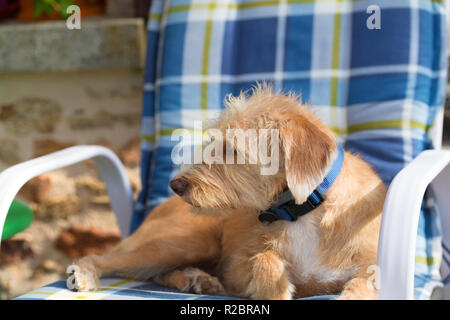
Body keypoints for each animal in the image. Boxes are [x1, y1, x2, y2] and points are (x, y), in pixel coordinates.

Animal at [66, 85, 386, 300]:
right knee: (107, 258)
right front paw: (274, 288)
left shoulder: (371, 266)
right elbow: (264, 259)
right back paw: (84, 273)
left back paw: (195, 279)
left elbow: (364, 283)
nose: (176, 185)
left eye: (233, 148)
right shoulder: (236, 267)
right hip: (184, 243)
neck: (304, 209)